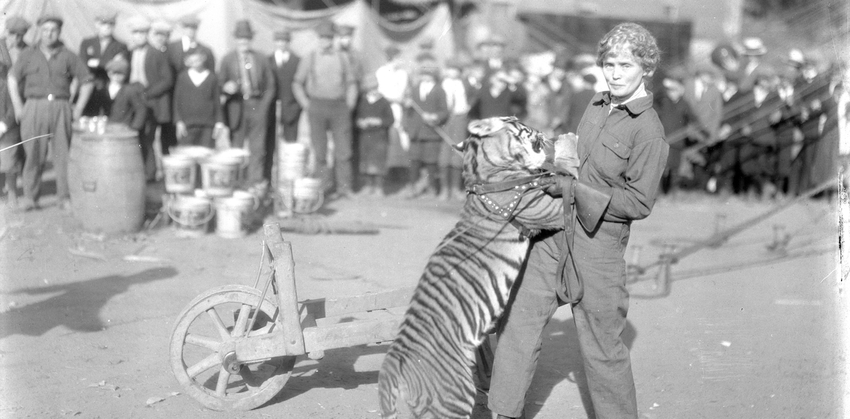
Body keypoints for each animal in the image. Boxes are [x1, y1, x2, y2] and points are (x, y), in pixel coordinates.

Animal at [378, 116, 577, 419]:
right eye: (517, 122)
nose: (544, 131)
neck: (481, 172)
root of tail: (395, 372)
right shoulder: (547, 207)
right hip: (455, 398)